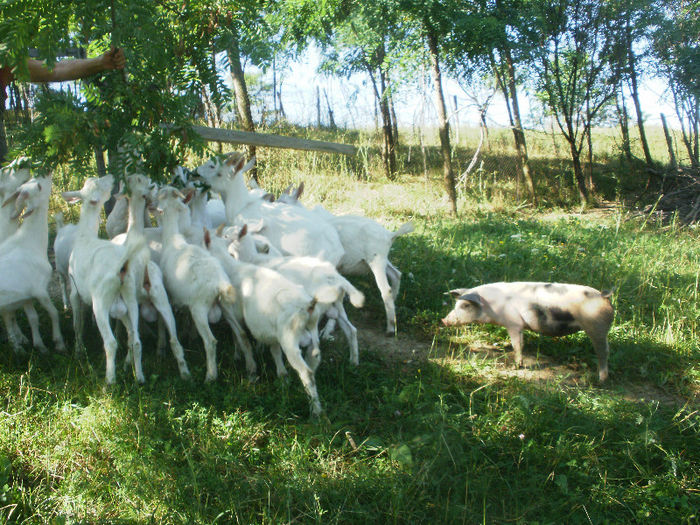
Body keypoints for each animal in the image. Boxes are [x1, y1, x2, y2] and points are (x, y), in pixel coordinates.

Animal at [0, 175, 65, 352]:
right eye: (38, 187)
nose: (48, 173)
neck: (30, 243)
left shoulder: (26, 296)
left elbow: (33, 318)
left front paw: (40, 346)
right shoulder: (40, 290)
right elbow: (54, 313)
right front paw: (59, 343)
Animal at [63, 174, 146, 382]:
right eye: (99, 184)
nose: (111, 176)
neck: (84, 238)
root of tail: (122, 265)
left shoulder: (74, 289)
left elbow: (77, 323)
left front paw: (78, 350)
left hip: (100, 301)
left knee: (110, 342)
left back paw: (110, 380)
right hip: (130, 297)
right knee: (136, 339)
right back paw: (139, 377)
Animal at [157, 186, 258, 382]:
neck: (173, 240)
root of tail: (220, 284)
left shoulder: (171, 295)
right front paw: (189, 335)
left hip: (200, 308)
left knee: (211, 341)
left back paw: (210, 376)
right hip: (226, 306)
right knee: (241, 334)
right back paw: (250, 368)